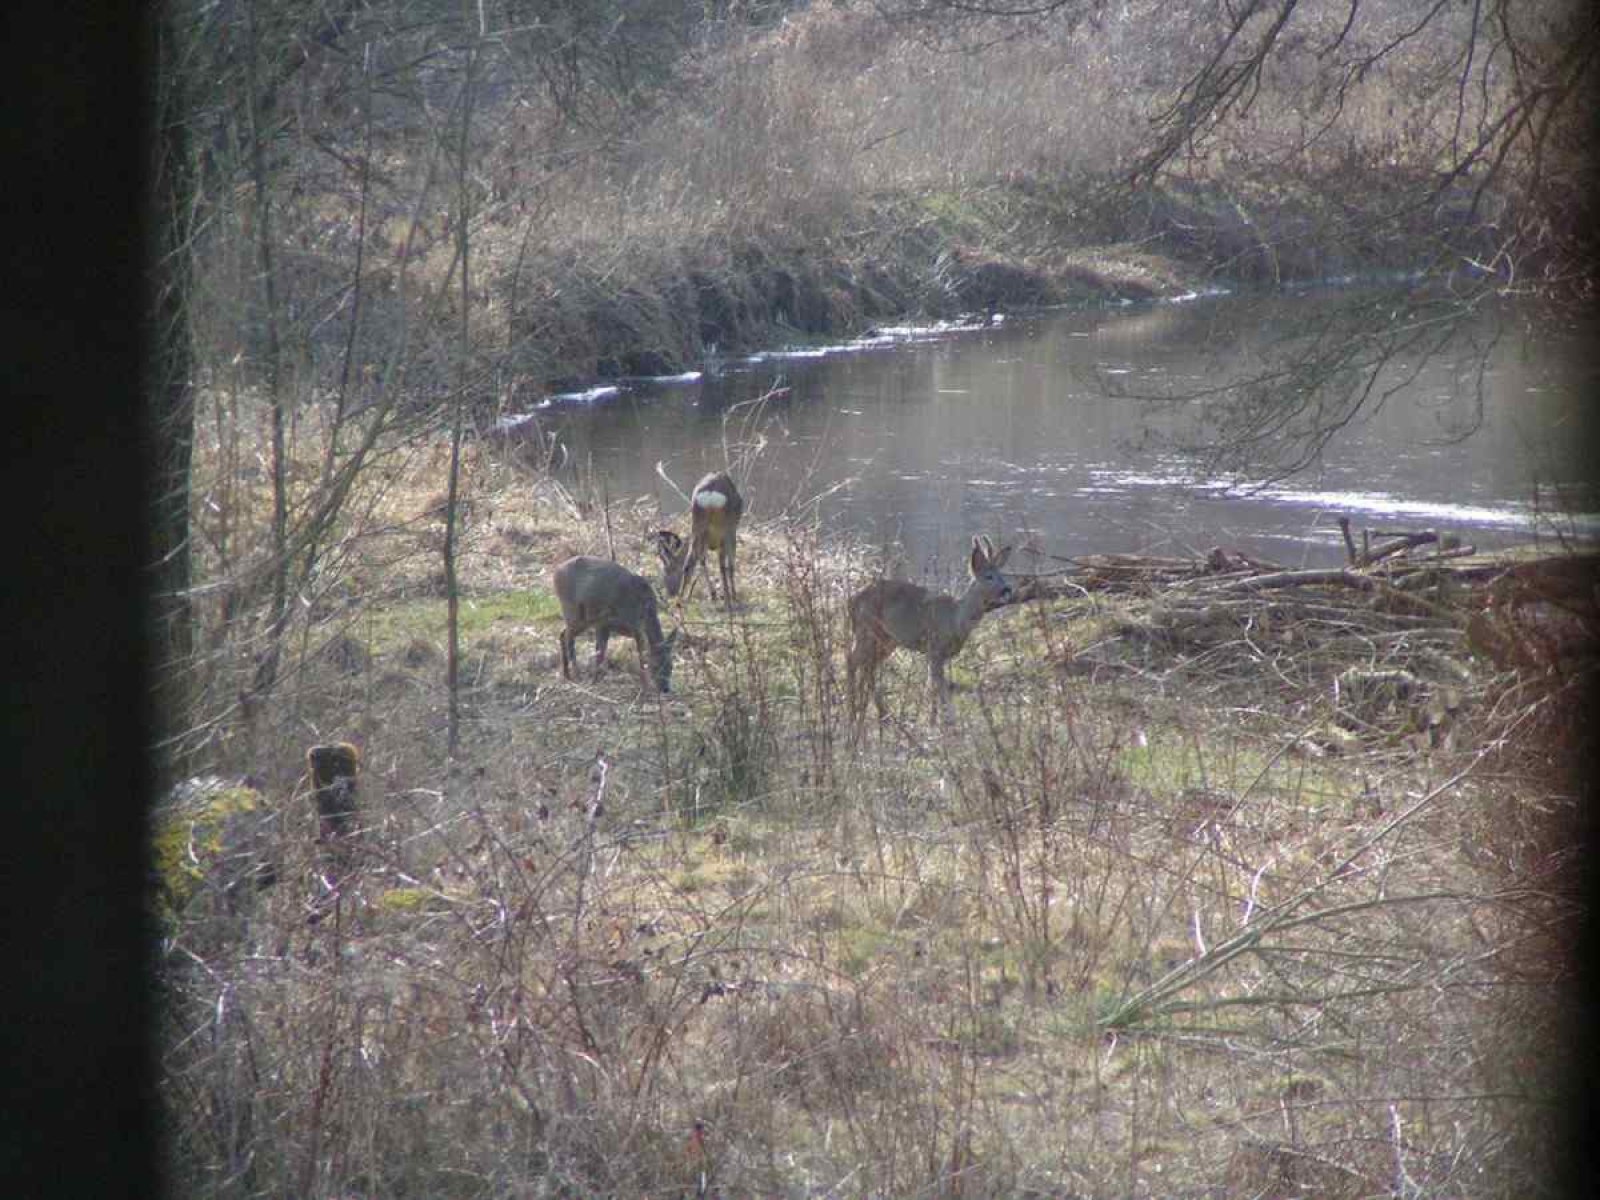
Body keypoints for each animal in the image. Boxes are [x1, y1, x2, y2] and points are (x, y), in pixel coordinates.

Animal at [553, 556, 678, 691]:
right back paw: (577, 674)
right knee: (568, 637)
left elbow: (640, 656)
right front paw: (594, 682)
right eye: (655, 665)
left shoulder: (635, 630)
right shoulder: (603, 621)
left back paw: (567, 674)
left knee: (562, 633)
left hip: (583, 618)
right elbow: (600, 653)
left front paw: (644, 685)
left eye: (671, 666)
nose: (665, 688)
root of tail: (556, 572)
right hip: (572, 610)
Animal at [652, 473, 745, 611]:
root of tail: (710, 494)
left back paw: (680, 601)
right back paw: (729, 601)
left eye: (667, 571)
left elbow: (702, 561)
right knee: (723, 565)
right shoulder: (730, 533)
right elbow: (730, 564)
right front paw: (730, 596)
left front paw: (711, 595)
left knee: (689, 563)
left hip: (697, 524)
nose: (670, 593)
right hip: (726, 528)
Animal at [851, 537, 1011, 729]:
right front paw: (948, 721)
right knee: (852, 660)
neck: (955, 618)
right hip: (867, 628)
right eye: (989, 576)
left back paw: (875, 713)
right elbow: (939, 686)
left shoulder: (936, 654)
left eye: (1003, 575)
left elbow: (932, 686)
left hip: (886, 640)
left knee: (868, 666)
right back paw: (853, 710)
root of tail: (853, 600)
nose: (1007, 589)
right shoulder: (935, 648)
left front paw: (932, 721)